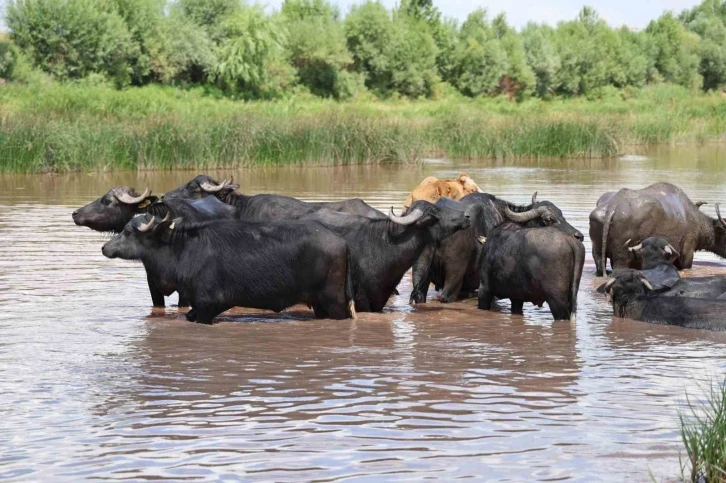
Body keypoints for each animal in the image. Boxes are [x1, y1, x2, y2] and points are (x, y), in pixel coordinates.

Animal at [101, 216, 356, 326]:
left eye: (127, 231)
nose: (104, 247)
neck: (182, 250)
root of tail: (342, 242)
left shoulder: (207, 304)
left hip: (334, 301)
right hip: (319, 304)